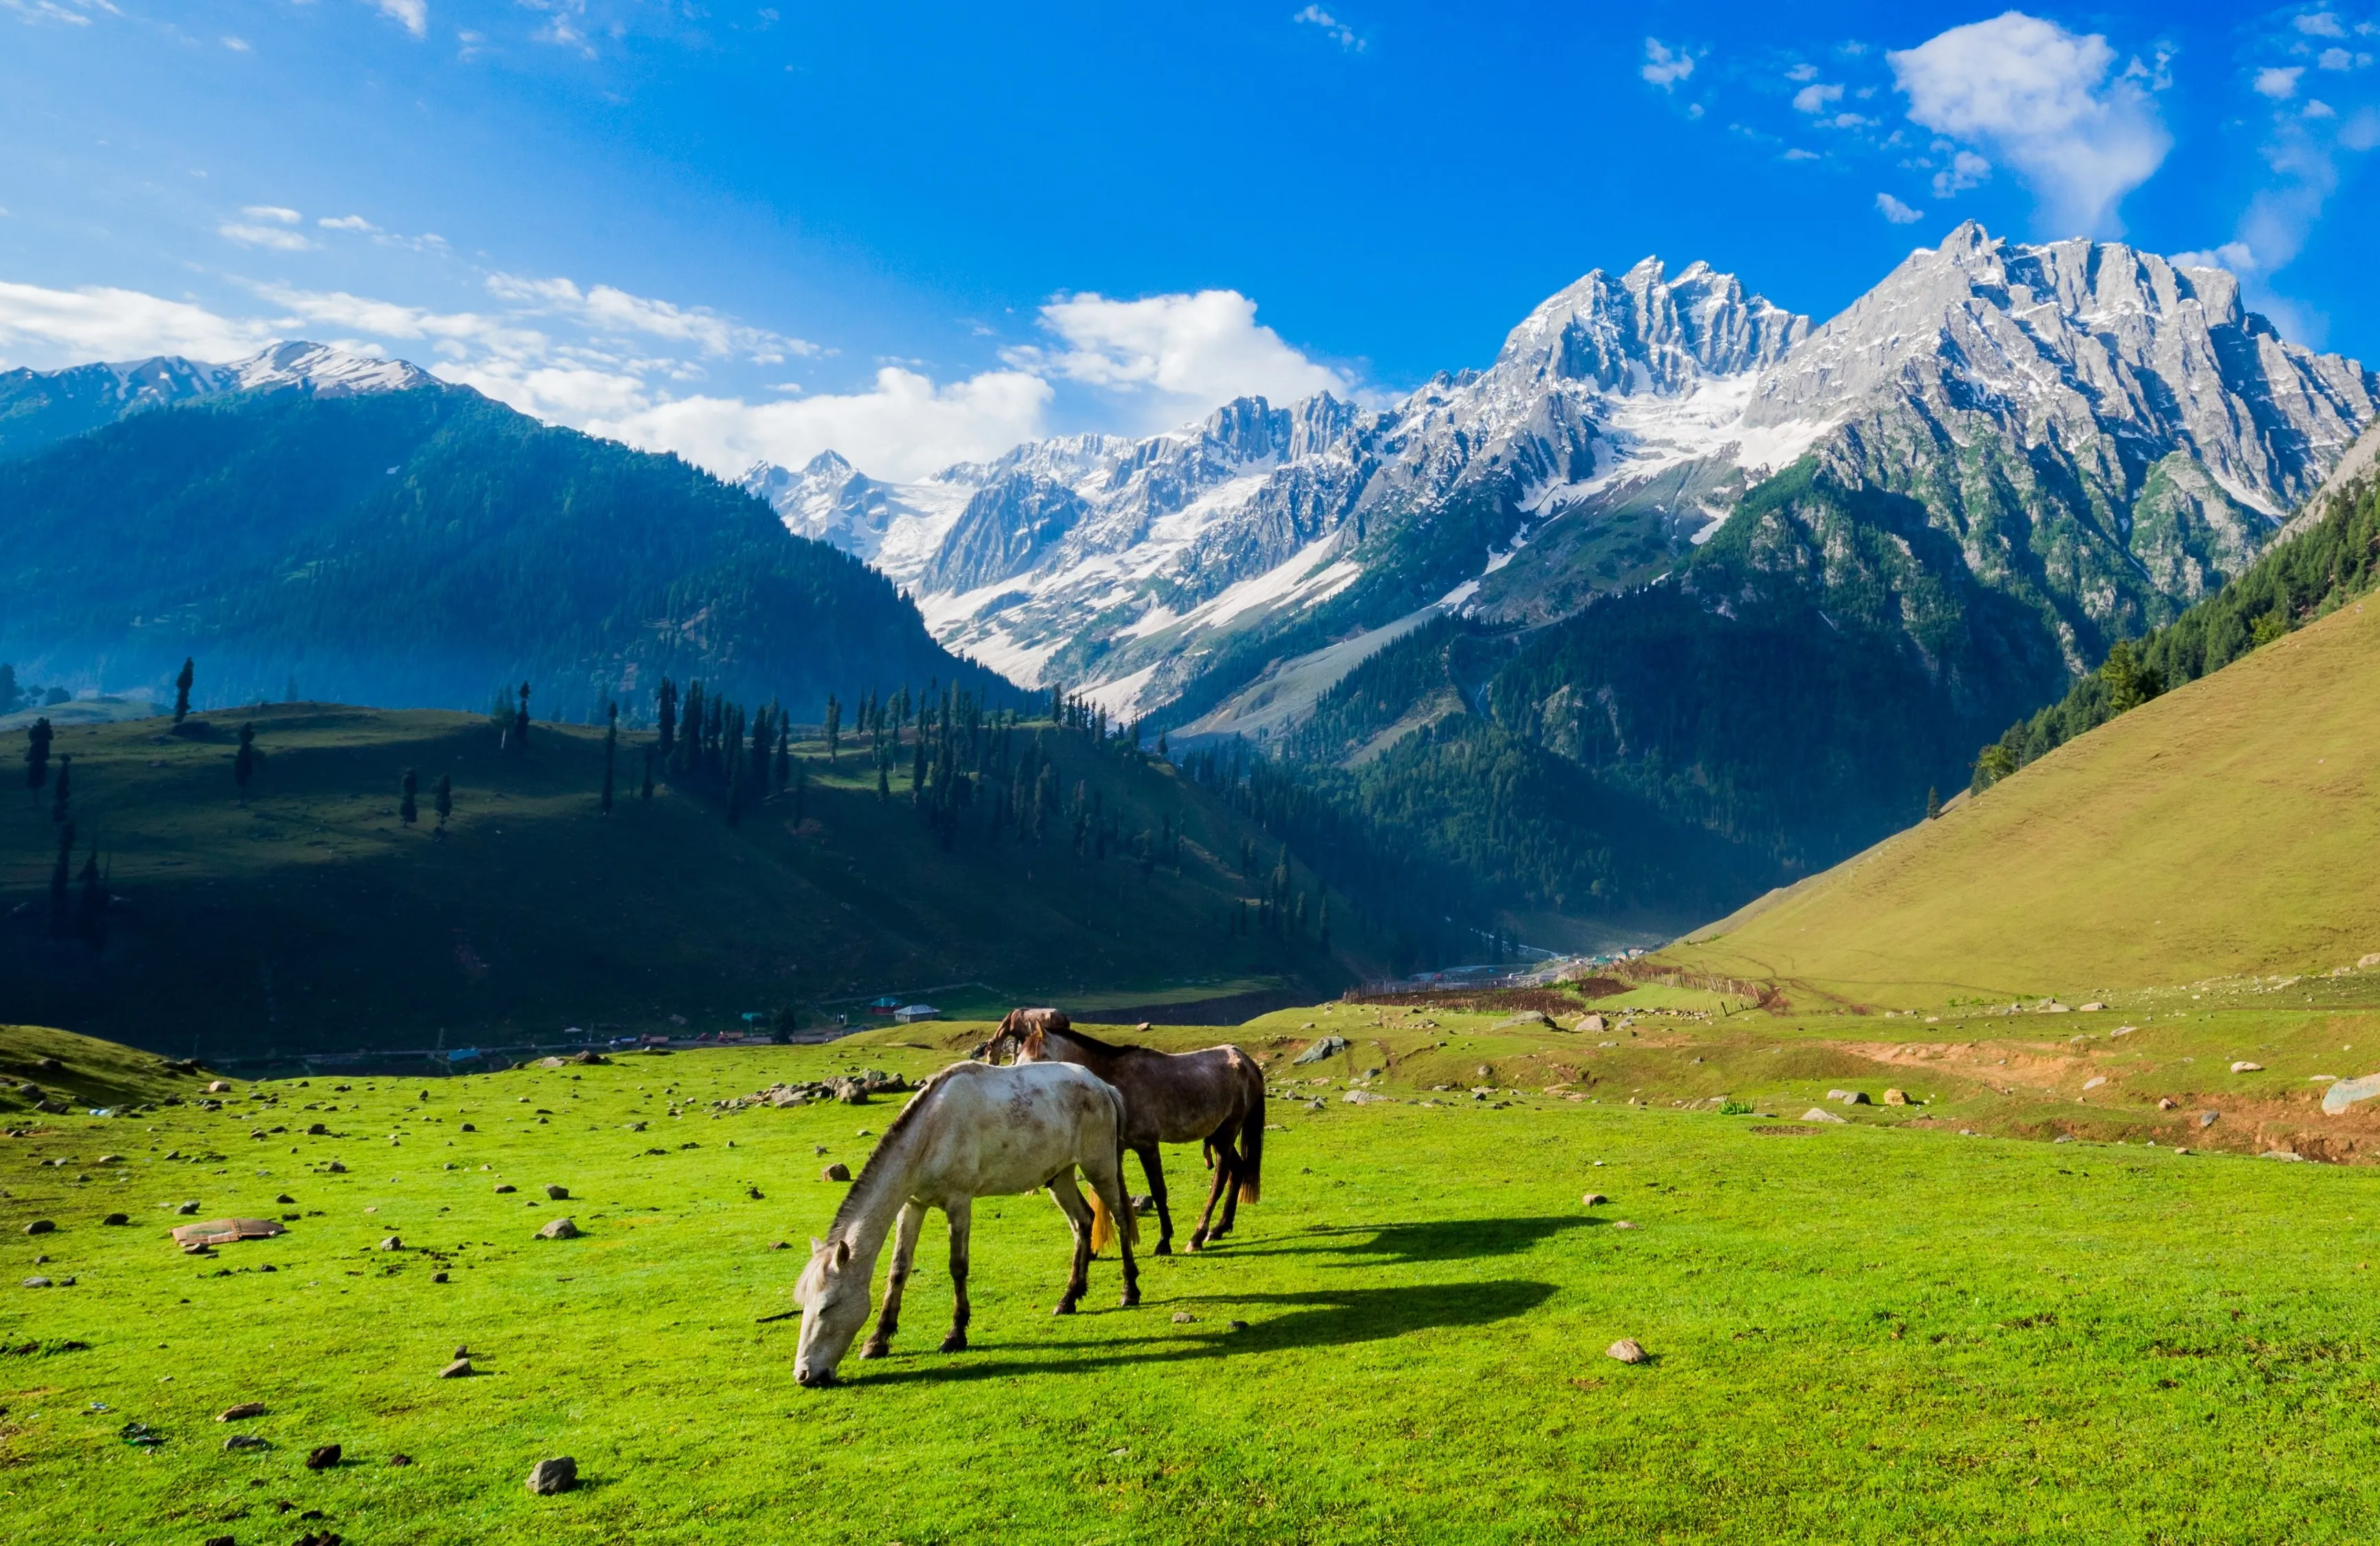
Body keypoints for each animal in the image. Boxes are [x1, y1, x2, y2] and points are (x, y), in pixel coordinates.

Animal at [791, 1058, 1140, 1388]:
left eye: (828, 1306)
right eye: (805, 1306)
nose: (804, 1375)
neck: (932, 1131)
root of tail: (1101, 1086)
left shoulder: (959, 1202)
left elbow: (957, 1266)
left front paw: (955, 1335)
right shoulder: (913, 1205)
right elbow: (898, 1269)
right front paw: (878, 1341)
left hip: (1100, 1167)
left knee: (1121, 1218)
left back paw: (1129, 1292)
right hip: (1060, 1176)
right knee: (1083, 1222)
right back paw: (1069, 1299)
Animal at [985, 1008, 1266, 1255]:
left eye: (1036, 1058)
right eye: (1018, 1058)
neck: (1115, 1085)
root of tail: (1245, 1060)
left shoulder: (1147, 1146)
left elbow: (1158, 1191)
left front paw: (1163, 1241)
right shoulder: (1115, 1149)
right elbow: (1113, 1195)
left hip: (1227, 1134)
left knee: (1220, 1179)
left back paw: (1198, 1236)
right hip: (1219, 1135)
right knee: (1238, 1171)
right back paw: (1220, 1228)